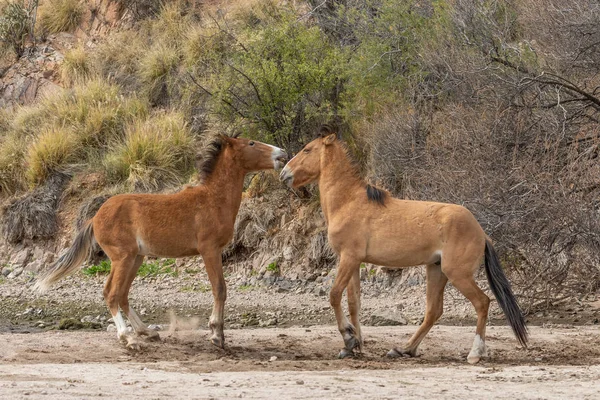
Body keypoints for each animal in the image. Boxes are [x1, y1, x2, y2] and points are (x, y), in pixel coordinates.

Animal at [35, 134, 288, 350]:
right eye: (252, 143)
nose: (282, 153)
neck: (212, 200)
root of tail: (94, 217)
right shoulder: (210, 250)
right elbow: (220, 288)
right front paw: (217, 335)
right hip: (123, 258)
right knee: (112, 293)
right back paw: (128, 338)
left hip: (136, 258)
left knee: (121, 294)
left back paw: (147, 332)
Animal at [278, 126, 528, 364]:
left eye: (307, 149)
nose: (283, 173)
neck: (348, 202)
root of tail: (481, 233)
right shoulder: (354, 262)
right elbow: (354, 303)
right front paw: (354, 345)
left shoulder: (348, 258)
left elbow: (334, 295)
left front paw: (349, 339)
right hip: (436, 270)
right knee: (434, 311)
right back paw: (404, 349)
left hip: (457, 274)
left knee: (482, 302)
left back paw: (475, 353)